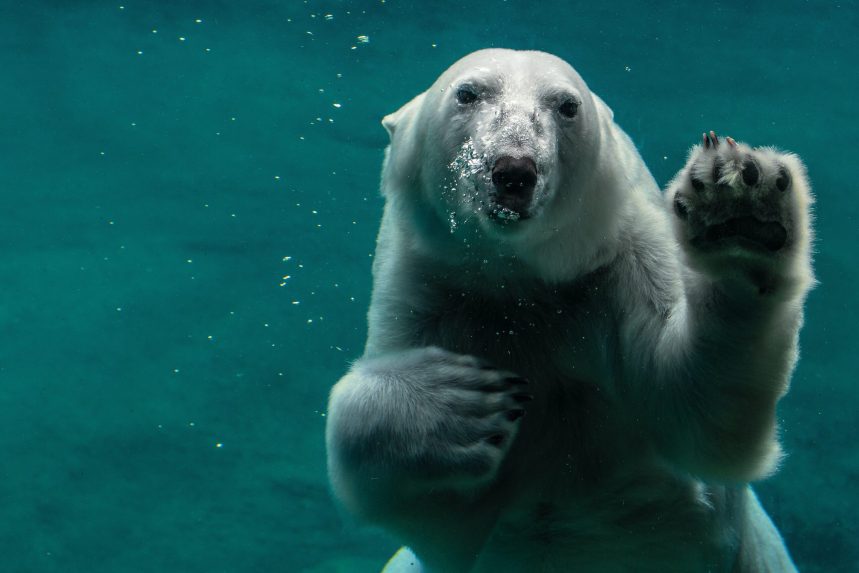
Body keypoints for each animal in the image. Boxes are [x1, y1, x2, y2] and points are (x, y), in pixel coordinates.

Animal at [326, 49, 813, 572]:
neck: (523, 279)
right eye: (468, 93)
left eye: (567, 105)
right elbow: (431, 506)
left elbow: (697, 410)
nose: (514, 170)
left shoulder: (621, 263)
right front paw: (461, 401)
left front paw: (741, 211)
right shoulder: (433, 289)